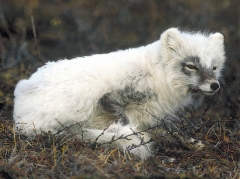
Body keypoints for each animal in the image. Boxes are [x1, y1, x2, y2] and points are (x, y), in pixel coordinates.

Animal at [13, 27, 225, 159]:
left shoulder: (152, 115)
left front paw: (194, 144)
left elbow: (173, 131)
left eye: (214, 67)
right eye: (191, 66)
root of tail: (18, 115)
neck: (157, 74)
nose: (215, 86)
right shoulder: (110, 98)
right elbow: (129, 125)